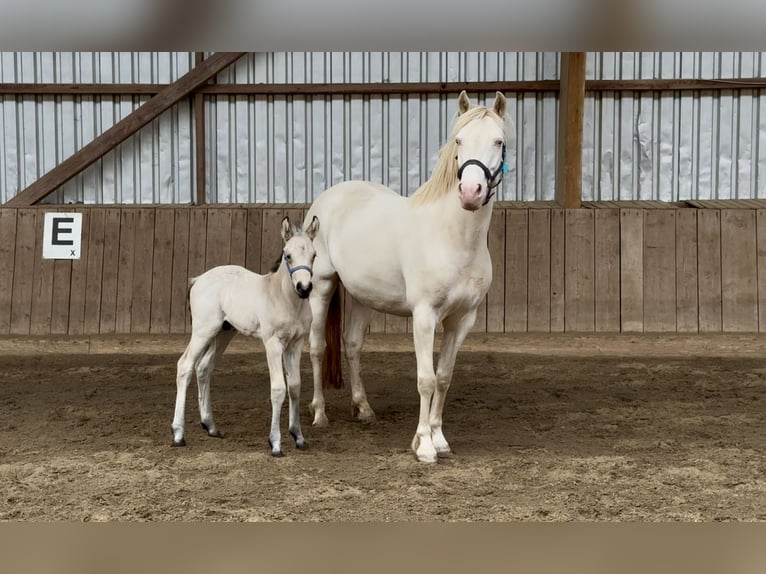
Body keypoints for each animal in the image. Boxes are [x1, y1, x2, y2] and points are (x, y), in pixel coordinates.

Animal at [171, 215, 319, 457]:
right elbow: (278, 388)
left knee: (203, 367)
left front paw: (298, 436)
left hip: (223, 333)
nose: (304, 288)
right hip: (203, 330)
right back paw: (178, 434)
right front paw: (275, 443)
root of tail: (198, 279)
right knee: (185, 366)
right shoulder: (273, 344)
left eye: (314, 255)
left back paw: (210, 426)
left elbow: (295, 386)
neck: (284, 298)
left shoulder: (296, 344)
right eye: (288, 255)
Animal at [304, 91, 509, 463]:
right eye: (458, 140)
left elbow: (443, 377)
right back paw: (320, 414)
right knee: (316, 347)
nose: (470, 192)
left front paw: (440, 439)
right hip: (321, 287)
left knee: (352, 345)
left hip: (362, 296)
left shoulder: (462, 320)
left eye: (498, 141)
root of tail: (329, 198)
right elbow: (425, 379)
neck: (454, 237)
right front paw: (423, 445)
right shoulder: (424, 316)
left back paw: (363, 409)